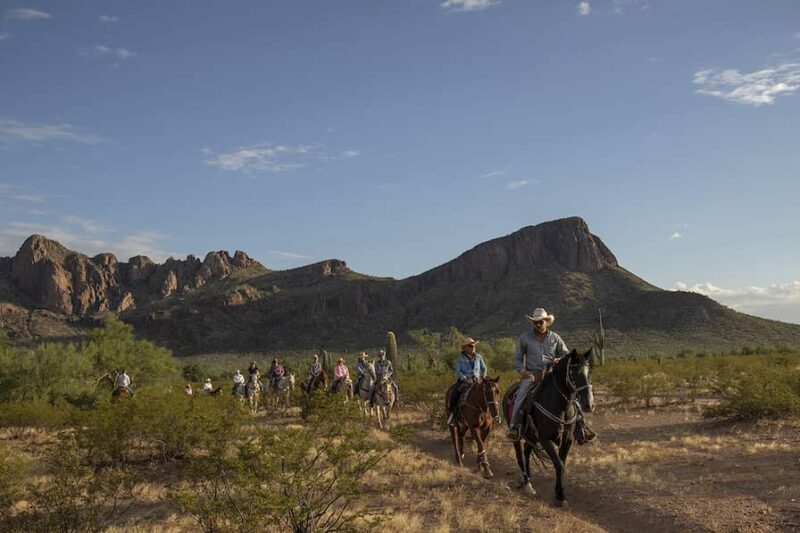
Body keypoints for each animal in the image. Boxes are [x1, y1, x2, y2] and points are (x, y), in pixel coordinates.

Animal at [500, 348, 592, 504]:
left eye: (589, 370)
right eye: (574, 372)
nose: (589, 404)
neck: (560, 406)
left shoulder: (567, 439)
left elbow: (561, 464)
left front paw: (559, 493)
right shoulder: (545, 439)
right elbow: (558, 464)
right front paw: (560, 495)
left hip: (531, 434)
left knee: (527, 450)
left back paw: (529, 478)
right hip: (517, 435)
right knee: (520, 456)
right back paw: (527, 484)